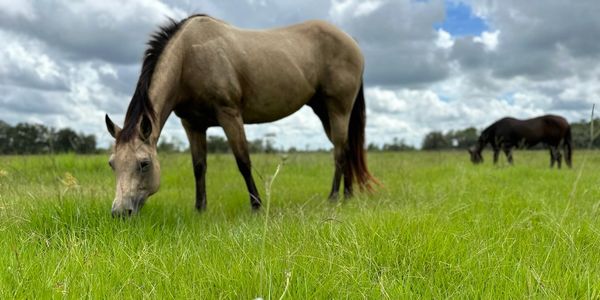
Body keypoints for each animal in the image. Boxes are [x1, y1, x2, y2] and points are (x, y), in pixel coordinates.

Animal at [103, 14, 376, 216]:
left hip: (338, 109)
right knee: (347, 149)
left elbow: (243, 161)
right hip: (323, 111)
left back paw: (333, 198)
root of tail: (352, 41)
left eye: (144, 164)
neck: (188, 57)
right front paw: (200, 209)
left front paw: (256, 206)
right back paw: (348, 196)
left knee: (339, 151)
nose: (120, 212)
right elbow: (199, 167)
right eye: (112, 164)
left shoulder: (229, 115)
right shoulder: (192, 124)